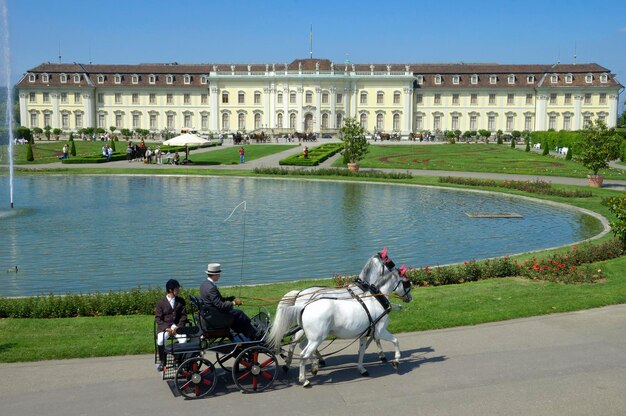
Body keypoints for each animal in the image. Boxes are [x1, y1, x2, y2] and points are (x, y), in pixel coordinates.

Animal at [266, 252, 410, 388]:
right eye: (390, 263)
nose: (409, 298)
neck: (374, 298)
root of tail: (301, 299)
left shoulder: (366, 332)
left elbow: (363, 350)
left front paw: (362, 367)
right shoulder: (379, 330)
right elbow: (391, 340)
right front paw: (392, 359)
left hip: (311, 334)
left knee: (301, 346)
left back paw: (311, 364)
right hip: (315, 336)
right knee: (300, 350)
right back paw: (303, 376)